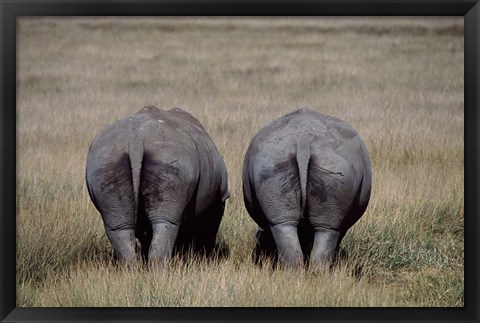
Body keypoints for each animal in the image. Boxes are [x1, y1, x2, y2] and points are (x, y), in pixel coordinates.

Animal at [86, 106, 229, 266]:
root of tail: (136, 139)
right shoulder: (220, 199)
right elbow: (210, 229)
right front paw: (205, 257)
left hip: (105, 161)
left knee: (118, 227)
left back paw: (134, 269)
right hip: (170, 156)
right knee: (166, 223)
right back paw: (161, 269)